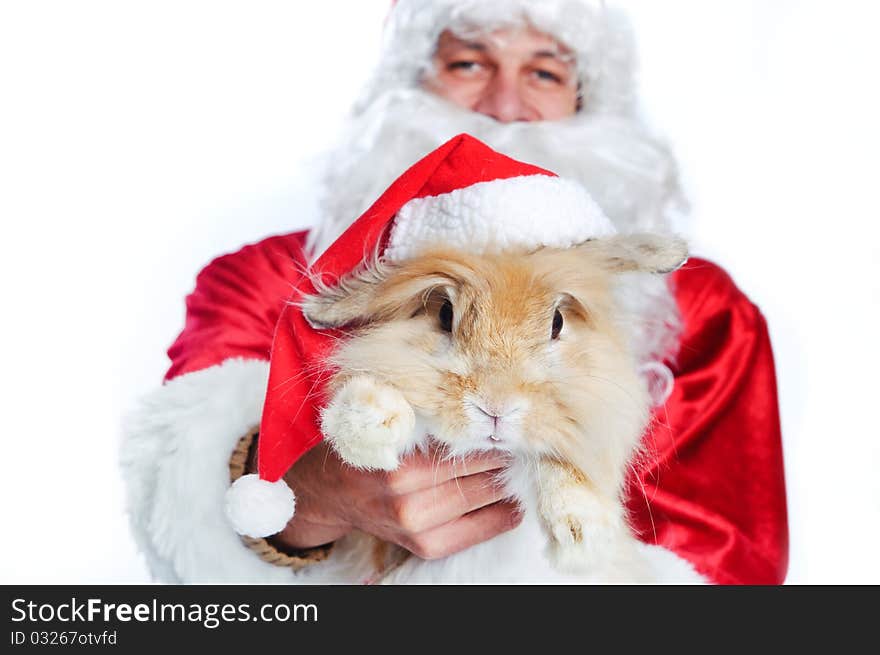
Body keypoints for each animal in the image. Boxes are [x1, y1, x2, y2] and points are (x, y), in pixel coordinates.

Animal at [292, 234, 704, 584]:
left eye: (557, 322)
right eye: (445, 314)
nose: (495, 408)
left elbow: (560, 461)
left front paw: (582, 536)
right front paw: (370, 424)